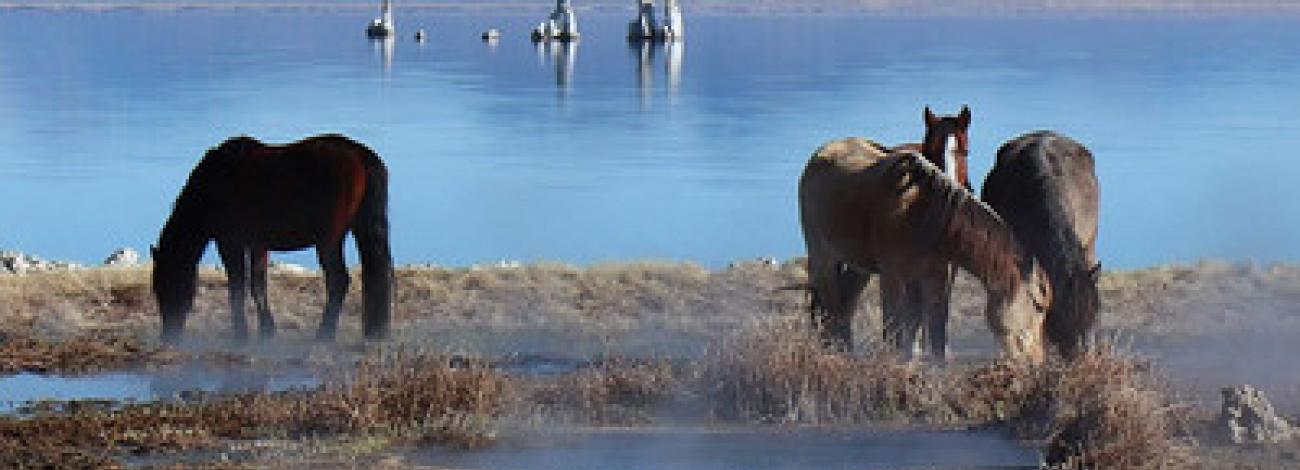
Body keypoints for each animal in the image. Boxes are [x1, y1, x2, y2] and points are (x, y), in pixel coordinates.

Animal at [151, 133, 390, 342]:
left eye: (169, 283)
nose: (168, 336)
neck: (214, 185)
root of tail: (360, 155)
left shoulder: (229, 243)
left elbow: (237, 287)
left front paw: (241, 335)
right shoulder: (258, 244)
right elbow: (258, 285)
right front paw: (266, 331)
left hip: (329, 241)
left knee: (338, 281)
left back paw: (324, 335)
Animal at [795, 137, 1050, 360]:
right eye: (1038, 306)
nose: (1037, 360)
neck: (926, 215)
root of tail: (821, 153)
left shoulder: (935, 280)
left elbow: (934, 334)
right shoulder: (892, 278)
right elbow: (896, 333)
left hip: (860, 268)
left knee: (845, 306)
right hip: (822, 257)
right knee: (832, 307)